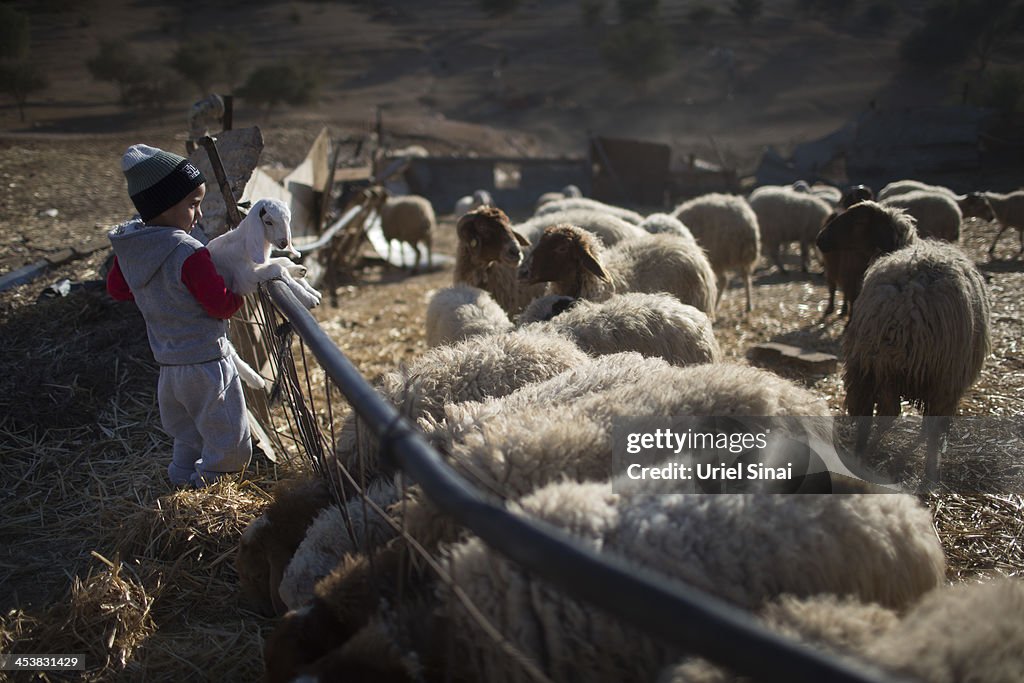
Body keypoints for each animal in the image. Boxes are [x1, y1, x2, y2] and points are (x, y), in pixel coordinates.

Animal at [831, 208, 991, 481]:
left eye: (857, 220)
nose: (821, 239)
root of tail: (906, 309)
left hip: (867, 366)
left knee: (874, 415)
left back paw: (862, 455)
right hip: (935, 377)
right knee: (904, 419)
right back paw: (924, 473)